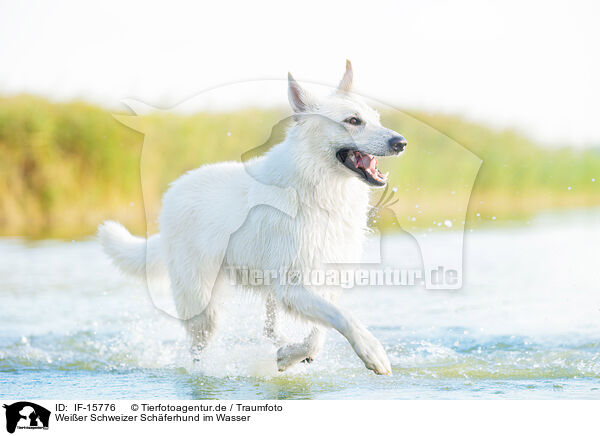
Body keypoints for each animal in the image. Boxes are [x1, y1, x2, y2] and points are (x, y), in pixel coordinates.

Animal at [98, 61, 408, 374]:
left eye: (376, 119)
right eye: (353, 120)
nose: (401, 142)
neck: (318, 188)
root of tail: (173, 191)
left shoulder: (322, 280)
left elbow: (320, 333)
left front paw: (291, 355)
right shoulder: (291, 285)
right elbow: (343, 317)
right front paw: (372, 352)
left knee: (269, 329)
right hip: (201, 303)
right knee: (199, 350)